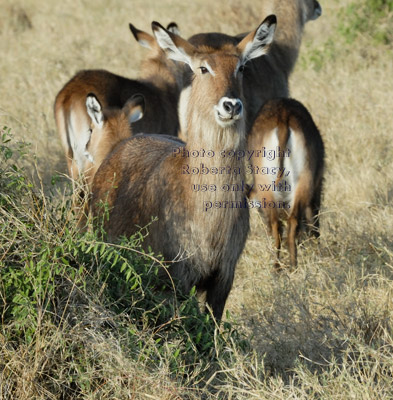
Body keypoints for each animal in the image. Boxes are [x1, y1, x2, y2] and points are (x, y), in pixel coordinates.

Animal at [247, 98, 324, 270]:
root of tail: (282, 117)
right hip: (303, 182)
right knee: (291, 222)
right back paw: (291, 266)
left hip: (270, 186)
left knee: (279, 225)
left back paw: (278, 267)